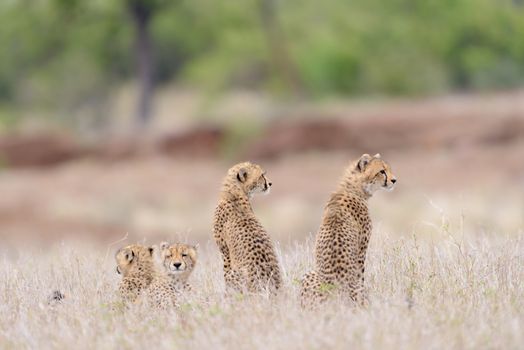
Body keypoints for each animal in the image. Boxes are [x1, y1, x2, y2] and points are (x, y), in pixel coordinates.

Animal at [213, 163, 282, 294]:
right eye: (262, 175)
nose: (270, 183)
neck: (236, 192)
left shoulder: (225, 252)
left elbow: (225, 274)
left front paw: (225, 294)